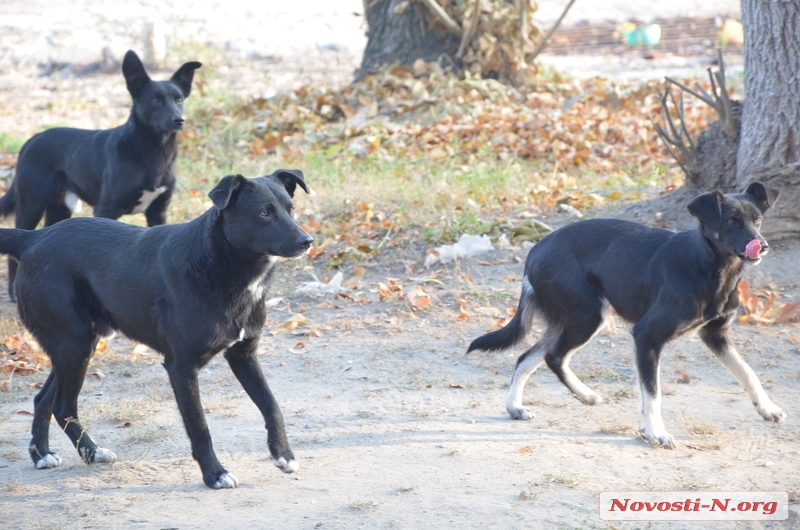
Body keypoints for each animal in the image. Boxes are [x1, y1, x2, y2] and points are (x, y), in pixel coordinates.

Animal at [0, 51, 200, 300]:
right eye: (155, 100)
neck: (153, 152)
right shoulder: (106, 210)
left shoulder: (158, 211)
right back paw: (12, 291)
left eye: (179, 99)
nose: (178, 120)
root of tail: (31, 140)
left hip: (60, 208)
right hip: (31, 204)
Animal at [0, 169, 312, 486]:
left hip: (77, 345)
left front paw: (283, 454)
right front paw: (214, 474)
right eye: (263, 213)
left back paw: (46, 454)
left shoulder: (243, 355)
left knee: (43, 400)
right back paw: (88, 451)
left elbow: (272, 406)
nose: (307, 241)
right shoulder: (181, 367)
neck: (222, 265)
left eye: (291, 210)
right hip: (74, 343)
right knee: (63, 406)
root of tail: (33, 237)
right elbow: (199, 427)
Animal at [468, 182, 788, 446]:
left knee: (527, 357)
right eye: (731, 221)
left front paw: (767, 408)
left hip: (569, 319)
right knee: (552, 357)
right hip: (587, 316)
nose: (763, 245)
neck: (709, 266)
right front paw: (656, 432)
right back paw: (580, 394)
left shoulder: (715, 334)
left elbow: (747, 372)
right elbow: (653, 392)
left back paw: (518, 406)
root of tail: (534, 251)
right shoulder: (647, 336)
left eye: (757, 220)